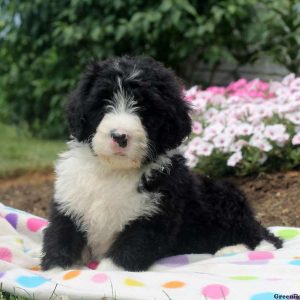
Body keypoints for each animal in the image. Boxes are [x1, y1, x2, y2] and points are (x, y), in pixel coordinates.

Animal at [41, 56, 282, 272]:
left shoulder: (155, 216)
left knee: (263, 236)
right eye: (103, 103)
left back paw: (235, 250)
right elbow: (60, 239)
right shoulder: (69, 204)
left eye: (145, 108)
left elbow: (128, 251)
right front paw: (57, 272)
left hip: (224, 200)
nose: (119, 136)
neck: (115, 171)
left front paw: (106, 273)